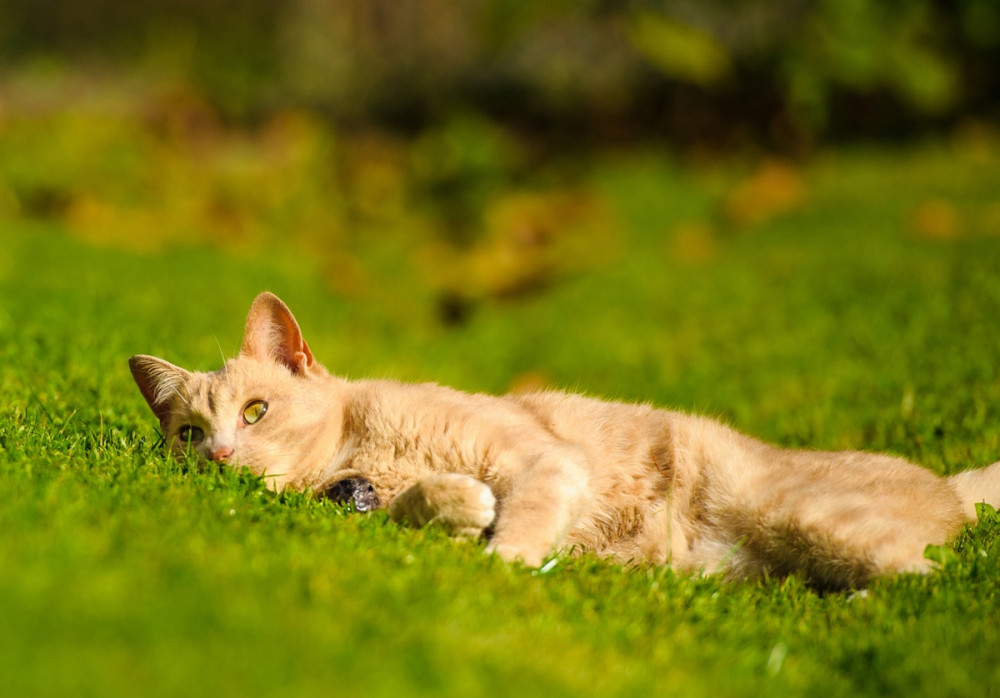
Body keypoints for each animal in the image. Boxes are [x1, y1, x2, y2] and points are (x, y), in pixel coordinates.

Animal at [129, 290, 1000, 584]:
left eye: (254, 412)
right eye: (189, 433)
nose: (221, 457)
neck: (357, 450)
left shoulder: (542, 458)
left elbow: (521, 518)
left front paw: (503, 559)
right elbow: (420, 505)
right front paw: (452, 510)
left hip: (807, 517)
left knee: (936, 583)